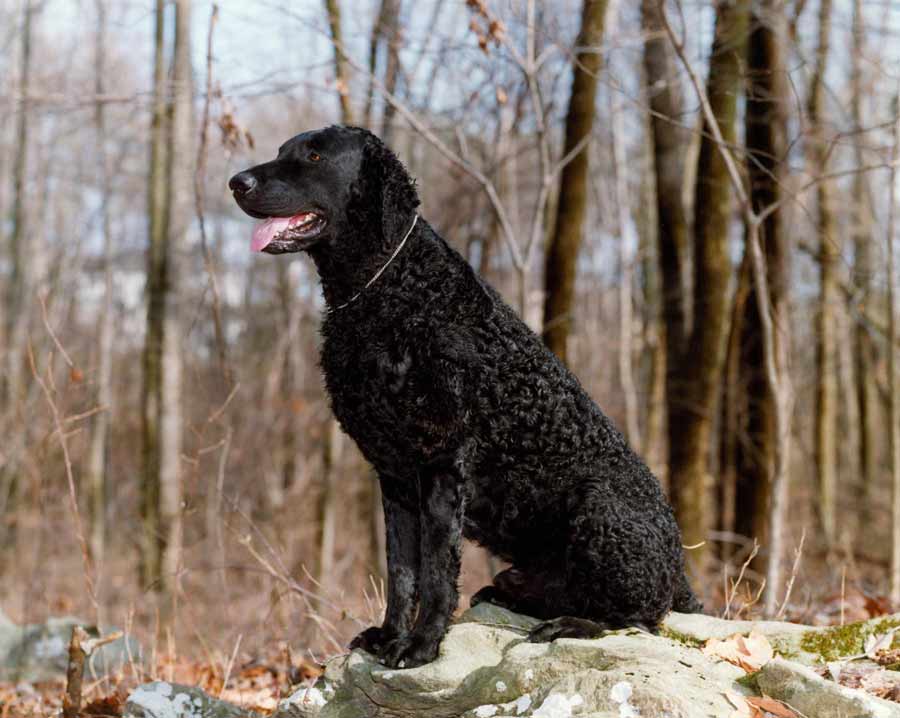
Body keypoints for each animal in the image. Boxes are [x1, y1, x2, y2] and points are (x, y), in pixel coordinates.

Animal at [229, 126, 700, 672]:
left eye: (314, 155)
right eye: (282, 151)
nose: (236, 182)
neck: (386, 289)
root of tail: (679, 571)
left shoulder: (442, 463)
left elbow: (436, 571)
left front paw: (421, 645)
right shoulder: (393, 474)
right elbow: (401, 571)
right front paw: (388, 636)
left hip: (601, 508)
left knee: (639, 616)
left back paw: (570, 624)